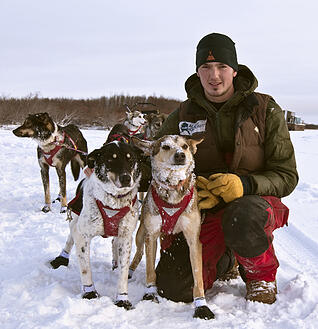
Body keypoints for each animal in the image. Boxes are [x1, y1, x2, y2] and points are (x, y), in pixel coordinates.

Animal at [50, 142, 142, 310]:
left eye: (130, 159)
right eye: (111, 159)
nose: (126, 178)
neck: (113, 201)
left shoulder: (125, 237)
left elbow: (123, 273)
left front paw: (122, 298)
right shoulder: (82, 236)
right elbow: (86, 269)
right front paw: (90, 292)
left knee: (114, 242)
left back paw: (115, 261)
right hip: (75, 221)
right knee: (70, 238)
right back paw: (61, 258)